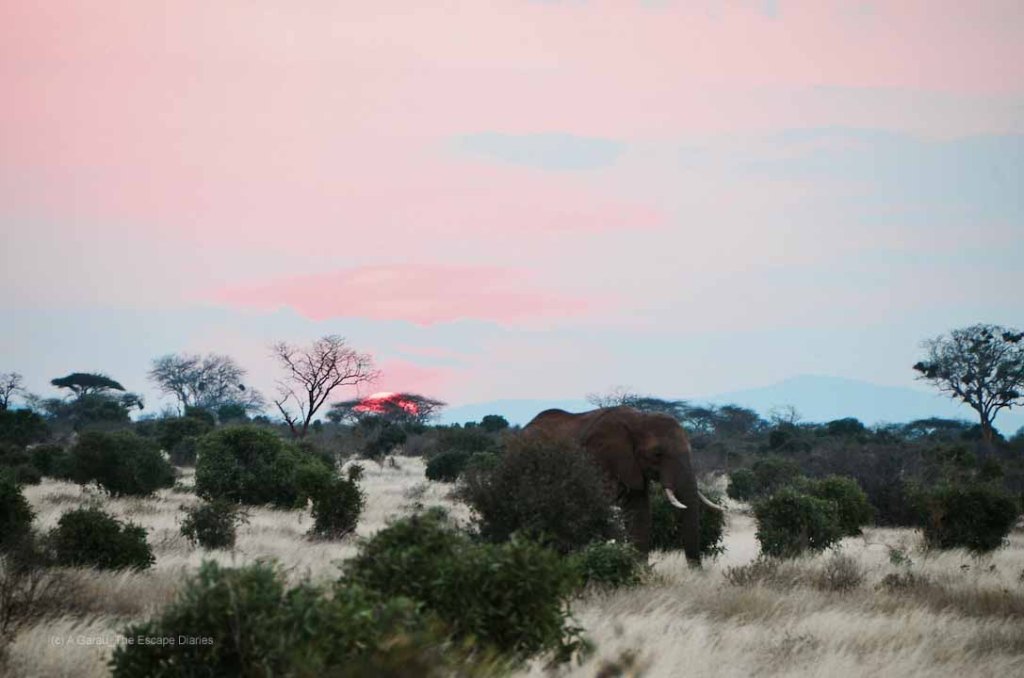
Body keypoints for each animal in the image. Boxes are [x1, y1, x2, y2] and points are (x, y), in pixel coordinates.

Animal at [523, 406, 724, 564]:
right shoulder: (597, 460)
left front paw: (641, 575)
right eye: (657, 454)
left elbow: (640, 512)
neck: (638, 419)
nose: (697, 573)